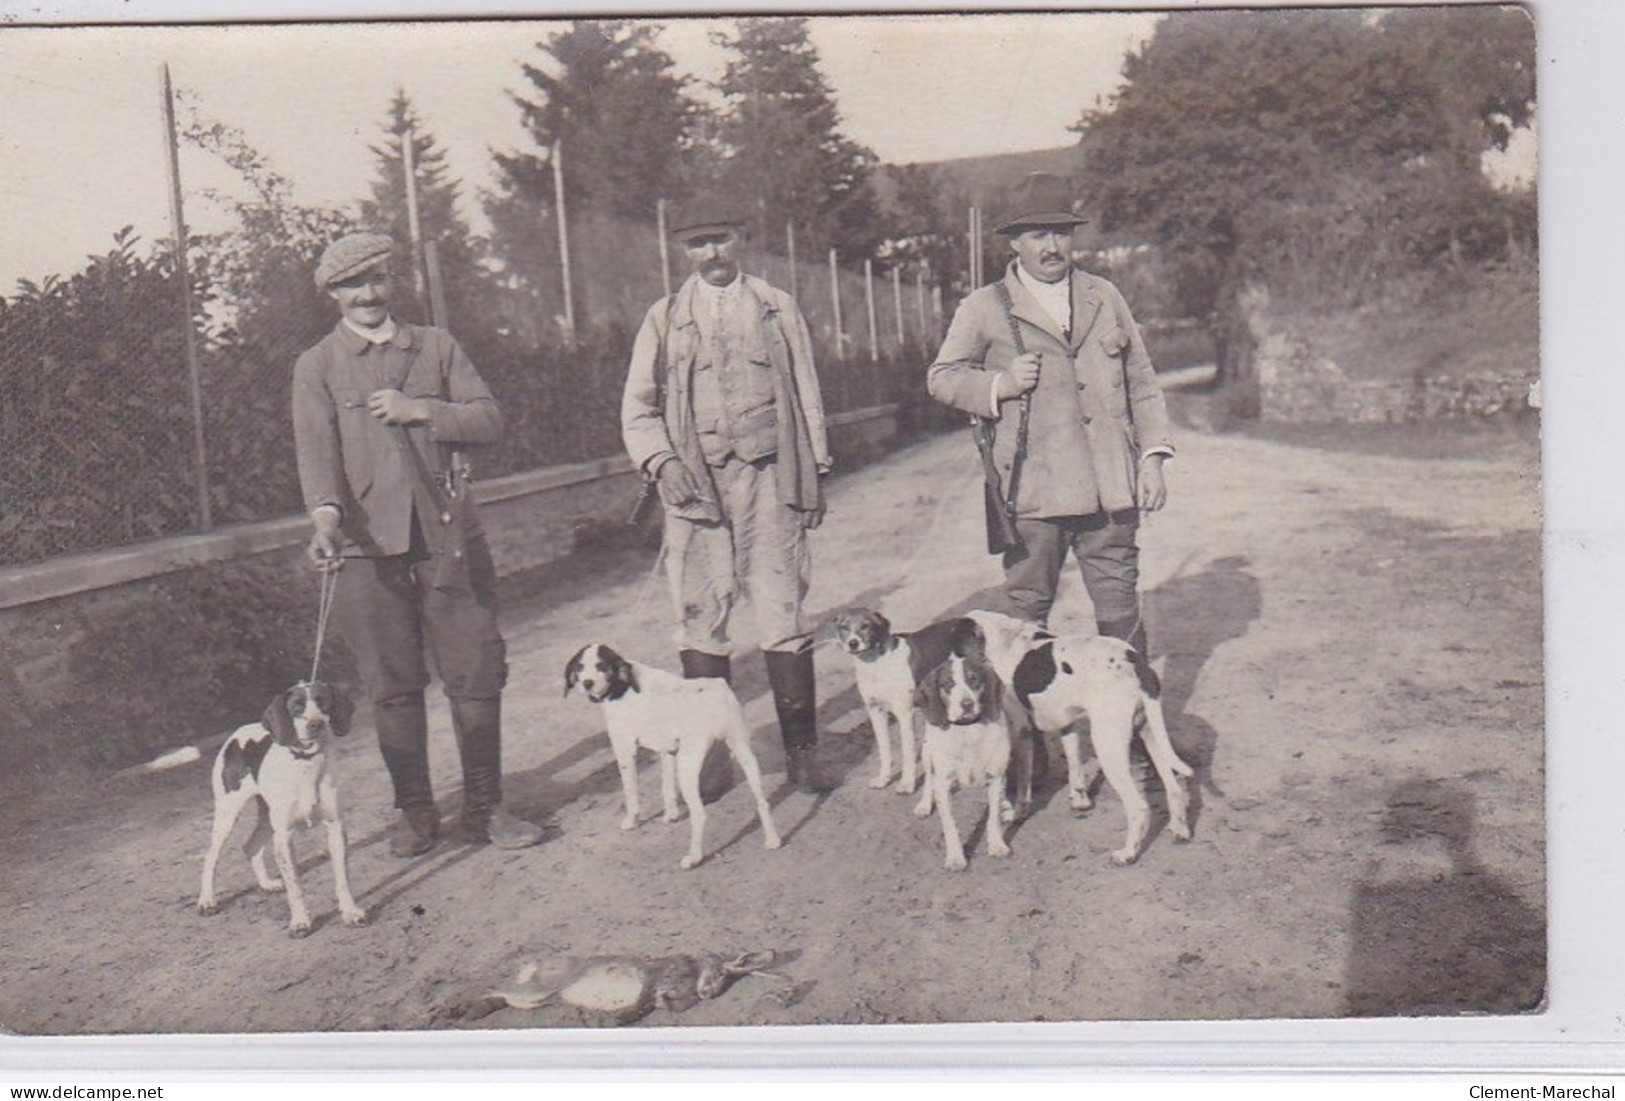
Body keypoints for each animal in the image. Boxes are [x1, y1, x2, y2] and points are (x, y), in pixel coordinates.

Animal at [195, 682, 367, 941]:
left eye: (324, 702)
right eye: (297, 707)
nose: (316, 724)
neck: (306, 765)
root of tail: (236, 734)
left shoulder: (335, 827)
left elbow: (342, 879)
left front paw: (350, 912)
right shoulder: (284, 837)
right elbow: (295, 886)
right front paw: (300, 922)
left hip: (267, 818)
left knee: (251, 846)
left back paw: (266, 884)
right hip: (227, 815)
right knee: (210, 857)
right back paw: (206, 901)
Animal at [565, 646, 780, 870]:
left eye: (601, 666)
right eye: (580, 667)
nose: (587, 683)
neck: (622, 685)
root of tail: (714, 692)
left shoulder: (624, 750)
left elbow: (630, 792)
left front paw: (632, 821)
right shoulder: (667, 751)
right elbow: (667, 788)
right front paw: (671, 815)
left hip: (688, 765)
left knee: (700, 814)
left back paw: (694, 857)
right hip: (743, 752)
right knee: (762, 802)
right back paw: (773, 840)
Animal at [832, 607, 968, 798]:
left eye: (865, 626)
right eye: (844, 627)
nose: (853, 643)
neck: (876, 664)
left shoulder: (905, 715)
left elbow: (907, 753)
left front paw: (907, 784)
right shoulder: (876, 712)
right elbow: (884, 749)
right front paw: (884, 779)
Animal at [916, 646, 1014, 870]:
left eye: (974, 680)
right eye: (948, 684)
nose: (967, 704)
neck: (968, 732)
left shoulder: (995, 777)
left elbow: (993, 817)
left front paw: (997, 845)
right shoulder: (943, 782)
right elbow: (950, 825)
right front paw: (955, 857)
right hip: (927, 752)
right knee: (928, 779)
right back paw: (924, 804)